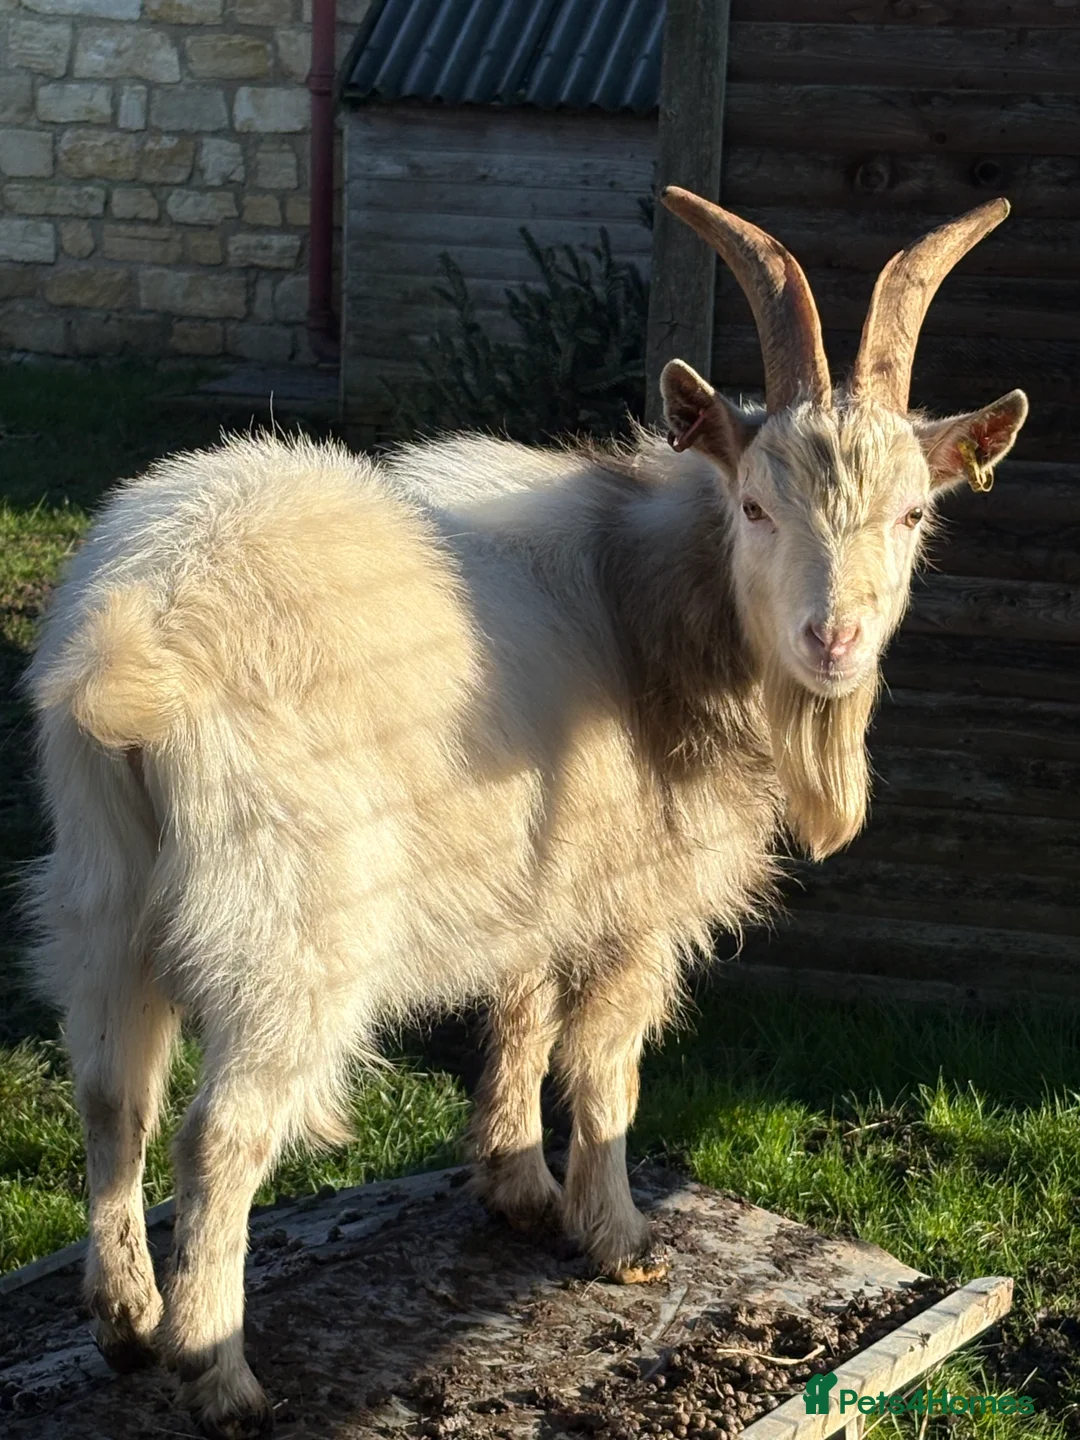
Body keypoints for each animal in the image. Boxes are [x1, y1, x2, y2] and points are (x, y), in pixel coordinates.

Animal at [27, 192, 1026, 1439]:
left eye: (911, 514)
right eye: (755, 505)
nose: (832, 641)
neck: (647, 598)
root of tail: (138, 633)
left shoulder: (536, 878)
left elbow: (519, 1017)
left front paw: (517, 1185)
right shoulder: (633, 902)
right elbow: (603, 1066)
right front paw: (618, 1236)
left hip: (101, 891)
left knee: (112, 1094)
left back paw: (122, 1320)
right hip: (289, 924)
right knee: (220, 1136)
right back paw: (217, 1371)